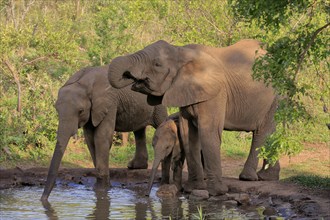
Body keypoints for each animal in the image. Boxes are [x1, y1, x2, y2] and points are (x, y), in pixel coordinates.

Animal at [40, 65, 168, 201]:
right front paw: (99, 188)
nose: (43, 199)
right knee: (139, 131)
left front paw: (103, 190)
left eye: (80, 111)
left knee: (161, 123)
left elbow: (101, 137)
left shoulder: (109, 103)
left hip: (158, 102)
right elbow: (90, 139)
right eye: (56, 109)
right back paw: (135, 166)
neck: (84, 83)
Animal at [109, 39, 280, 196]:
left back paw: (248, 178)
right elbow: (187, 133)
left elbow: (209, 131)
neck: (181, 52)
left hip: (276, 96)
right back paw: (267, 177)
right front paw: (193, 189)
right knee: (271, 132)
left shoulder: (216, 92)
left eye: (157, 64)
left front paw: (218, 192)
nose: (129, 76)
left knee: (263, 132)